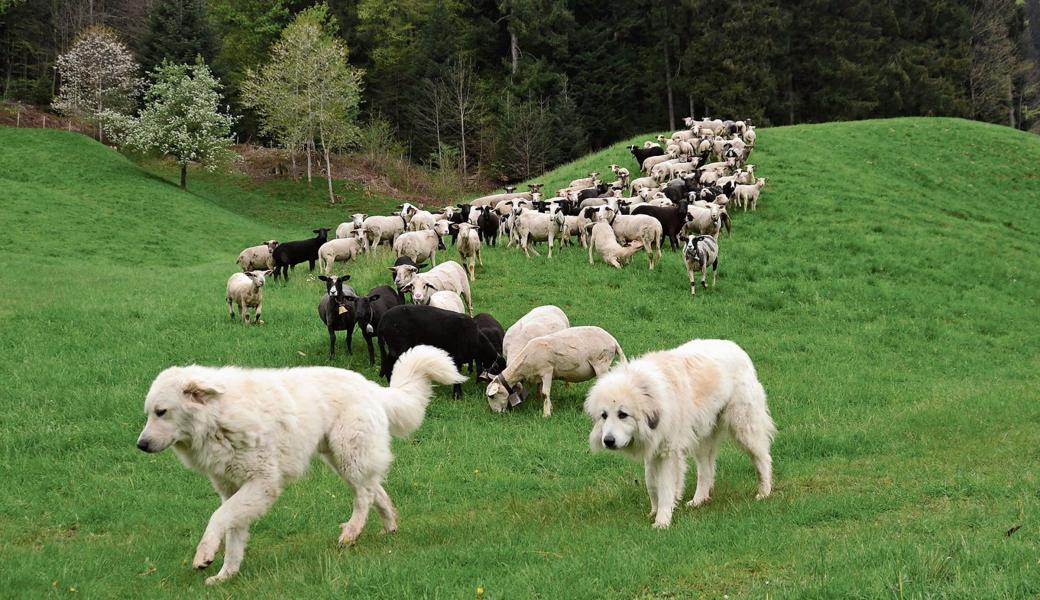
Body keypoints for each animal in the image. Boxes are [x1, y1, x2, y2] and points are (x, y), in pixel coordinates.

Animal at [136, 343, 465, 582]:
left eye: (161, 412)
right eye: (149, 413)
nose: (141, 445)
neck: (217, 418)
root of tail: (371, 386)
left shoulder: (262, 483)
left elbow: (218, 518)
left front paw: (204, 555)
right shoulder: (234, 489)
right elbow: (233, 533)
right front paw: (226, 575)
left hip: (347, 454)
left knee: (365, 495)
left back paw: (351, 532)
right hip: (343, 458)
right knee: (377, 491)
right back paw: (388, 527)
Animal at [480, 328, 624, 415]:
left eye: (491, 396)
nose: (496, 413)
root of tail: (613, 341)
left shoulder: (547, 371)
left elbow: (545, 393)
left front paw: (546, 414)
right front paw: (550, 408)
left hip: (601, 362)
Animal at [586, 338, 773, 526]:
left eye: (622, 414)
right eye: (604, 415)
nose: (608, 441)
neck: (653, 395)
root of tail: (735, 347)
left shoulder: (669, 452)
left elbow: (665, 487)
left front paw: (662, 521)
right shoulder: (653, 449)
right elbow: (651, 482)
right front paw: (654, 512)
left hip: (744, 427)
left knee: (762, 458)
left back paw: (764, 492)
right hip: (703, 438)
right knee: (705, 471)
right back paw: (698, 500)